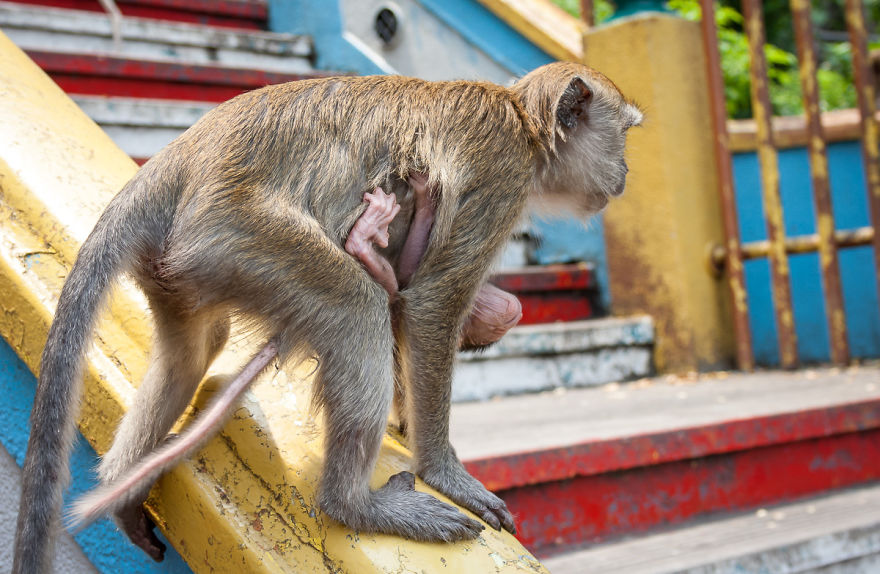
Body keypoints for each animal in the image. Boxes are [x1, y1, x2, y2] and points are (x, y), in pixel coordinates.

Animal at [13, 60, 644, 572]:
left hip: (188, 260)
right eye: (623, 135)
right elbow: (432, 303)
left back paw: (120, 485)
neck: (520, 119)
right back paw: (353, 505)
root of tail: (178, 159)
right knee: (355, 308)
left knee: (195, 351)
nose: (624, 175)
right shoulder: (500, 176)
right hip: (232, 232)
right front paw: (444, 470)